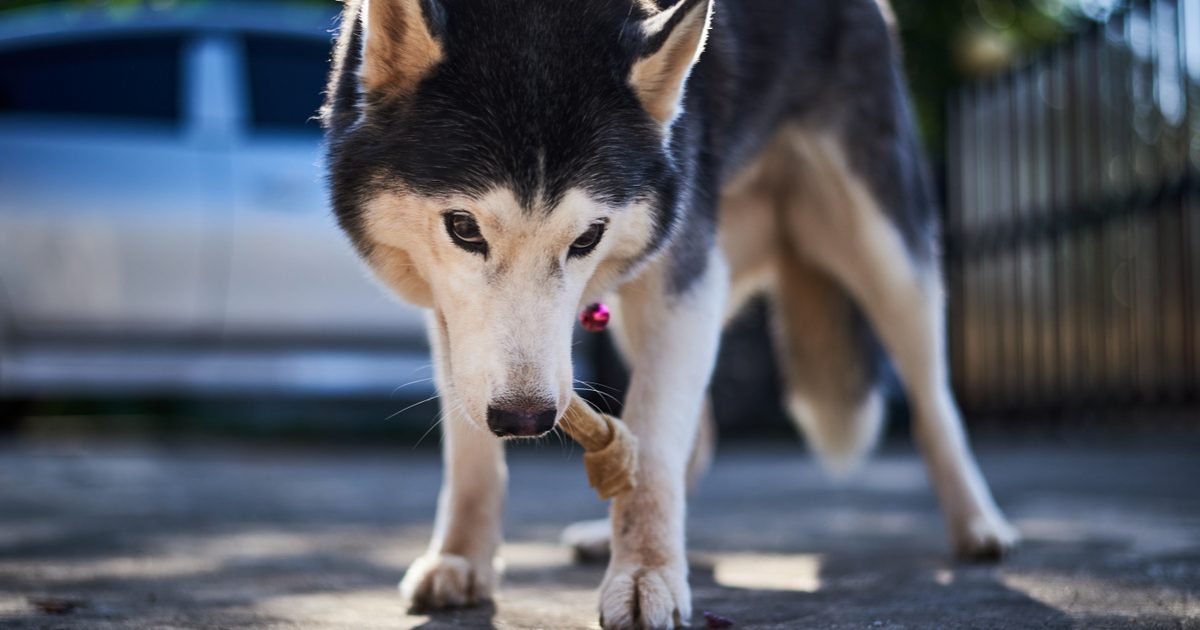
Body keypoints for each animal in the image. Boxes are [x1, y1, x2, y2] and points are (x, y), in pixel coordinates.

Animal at [324, 1, 1017, 624]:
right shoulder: (452, 310)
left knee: (932, 398)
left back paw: (979, 524)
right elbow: (471, 448)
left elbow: (655, 438)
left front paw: (645, 573)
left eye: (587, 236)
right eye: (464, 228)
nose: (525, 419)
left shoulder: (684, 278)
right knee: (701, 425)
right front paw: (461, 559)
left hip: (884, 250)